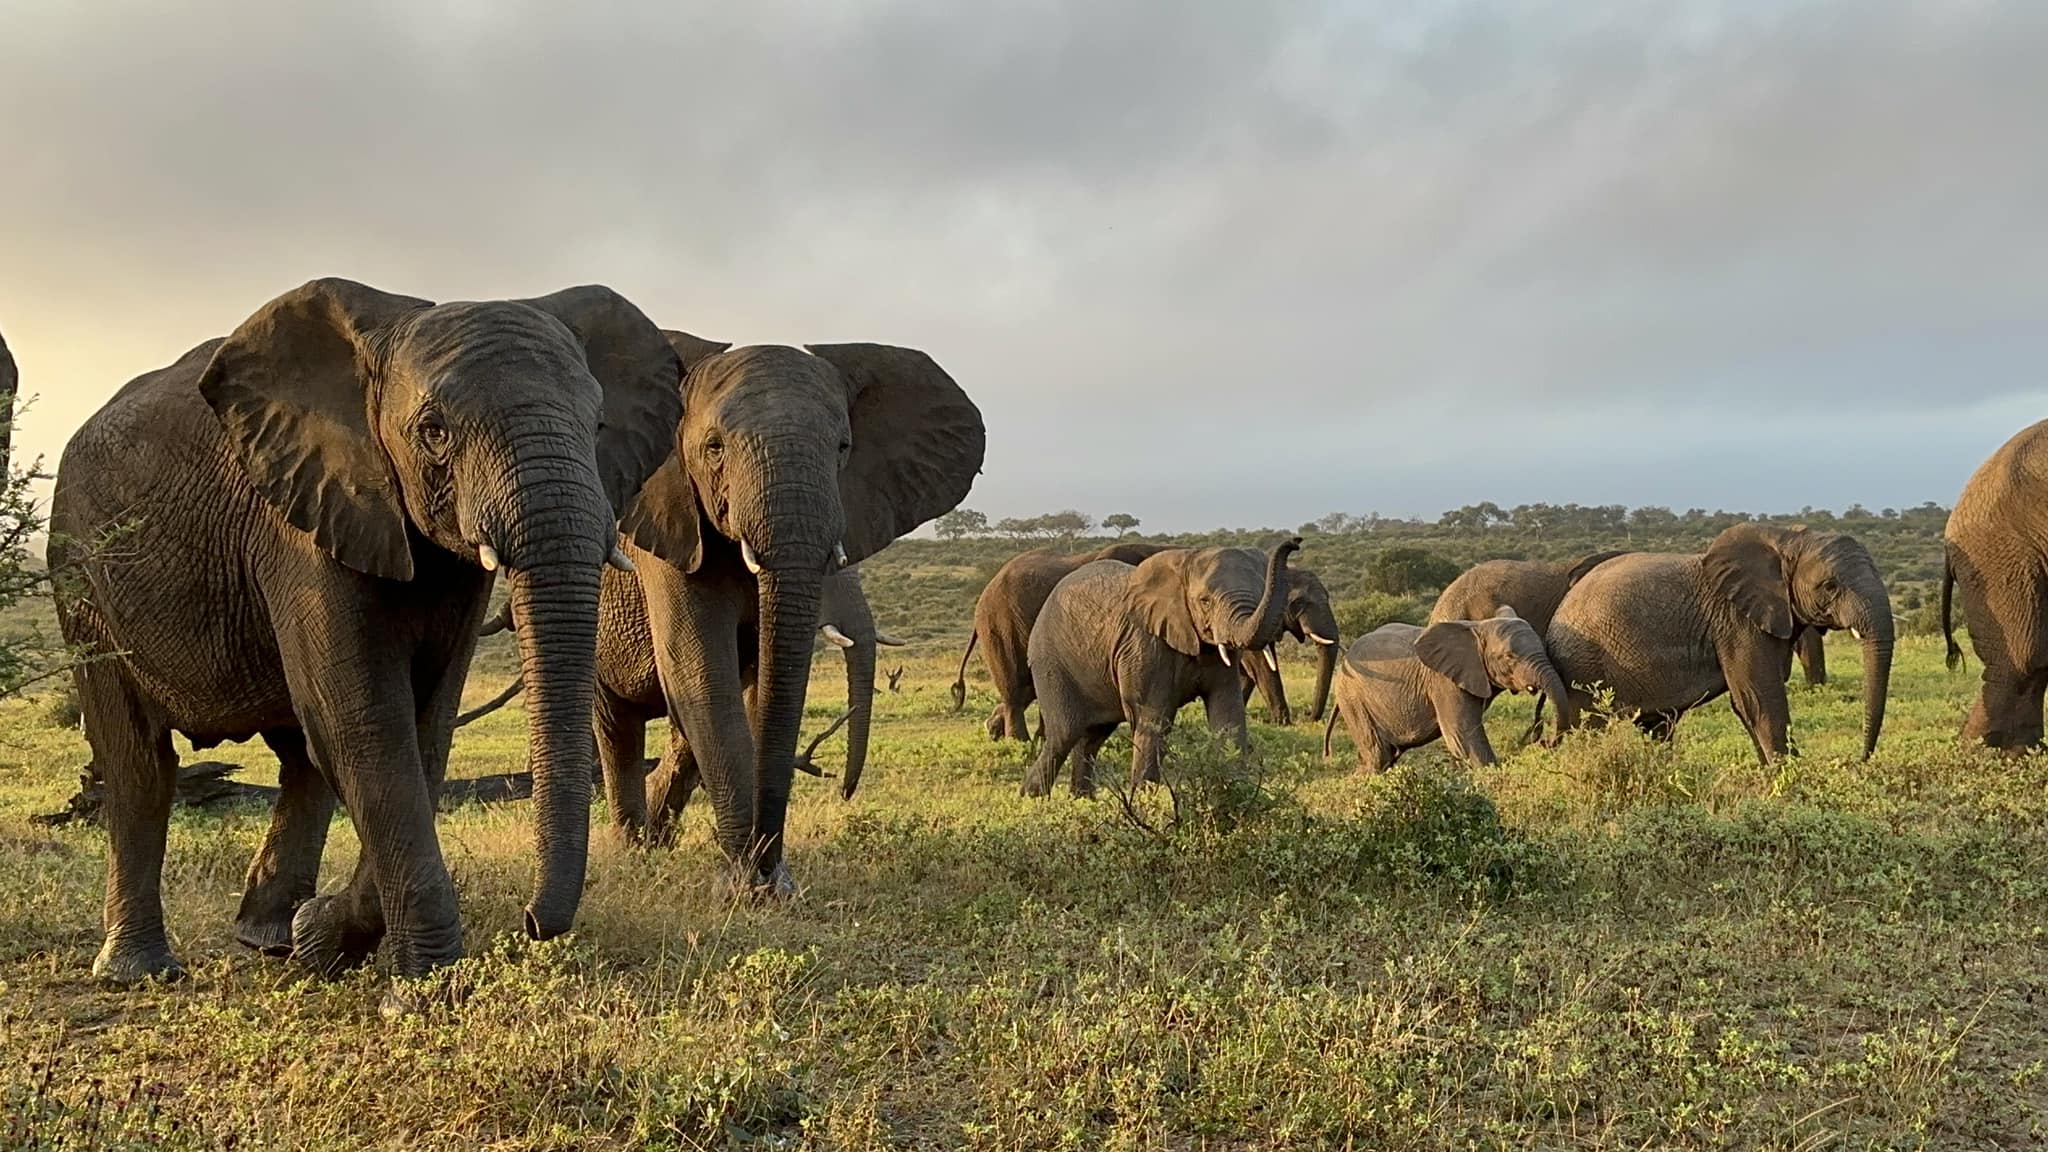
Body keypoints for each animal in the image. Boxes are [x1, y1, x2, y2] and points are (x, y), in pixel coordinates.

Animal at [48, 278, 680, 983]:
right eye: (433, 432)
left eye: (596, 426)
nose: (532, 922)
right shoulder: (301, 515)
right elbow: (367, 721)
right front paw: (421, 986)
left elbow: (426, 725)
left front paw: (321, 938)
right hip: (80, 571)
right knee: (139, 762)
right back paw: (138, 971)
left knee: (302, 758)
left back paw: (270, 939)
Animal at [604, 337, 983, 887]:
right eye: (714, 447)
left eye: (843, 447)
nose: (845, 792)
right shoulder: (665, 526)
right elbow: (700, 670)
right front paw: (747, 886)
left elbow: (762, 680)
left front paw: (766, 882)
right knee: (616, 728)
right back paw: (629, 849)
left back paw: (655, 840)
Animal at [1021, 539, 1299, 798]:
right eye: (1205, 601)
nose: (1294, 543)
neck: (1186, 561)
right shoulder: (1144, 645)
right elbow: (1153, 717)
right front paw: (1145, 802)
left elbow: (1228, 715)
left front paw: (1237, 791)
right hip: (1051, 661)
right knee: (1064, 734)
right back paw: (1032, 798)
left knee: (1092, 737)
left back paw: (1082, 800)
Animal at [1321, 608, 1571, 771]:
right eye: (1509, 657)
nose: (1543, 742)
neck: (1478, 627)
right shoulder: (1444, 682)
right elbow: (1462, 737)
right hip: (1353, 699)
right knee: (1378, 754)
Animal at [1547, 524, 1894, 763]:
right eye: (1830, 586)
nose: (1859, 760)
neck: (1785, 540)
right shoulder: (1736, 622)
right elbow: (1759, 699)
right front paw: (1791, 781)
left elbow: (1748, 704)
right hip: (1584, 664)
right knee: (1591, 725)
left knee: (1657, 724)